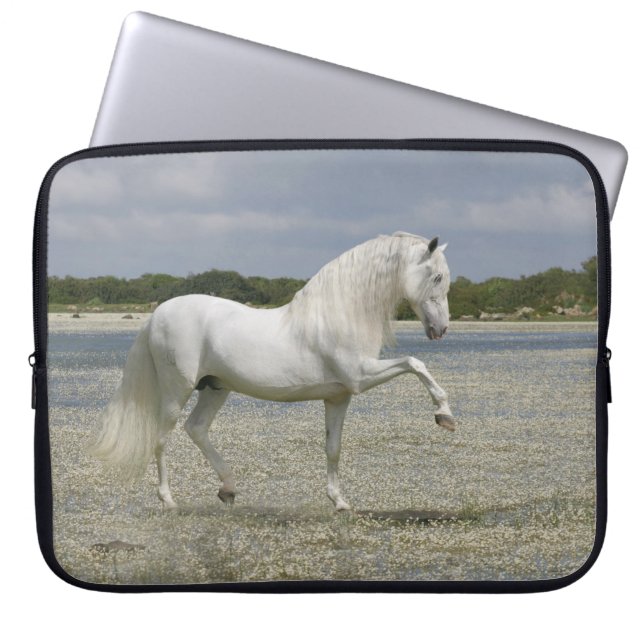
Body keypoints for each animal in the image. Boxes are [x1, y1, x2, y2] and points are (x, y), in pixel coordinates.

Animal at [90, 232, 455, 511]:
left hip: (216, 388)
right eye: (437, 277)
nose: (441, 329)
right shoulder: (360, 376)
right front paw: (444, 415)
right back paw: (168, 500)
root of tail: (156, 316)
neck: (338, 314)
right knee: (163, 438)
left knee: (197, 428)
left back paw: (228, 489)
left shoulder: (339, 397)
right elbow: (415, 363)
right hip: (176, 391)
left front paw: (339, 501)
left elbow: (333, 448)